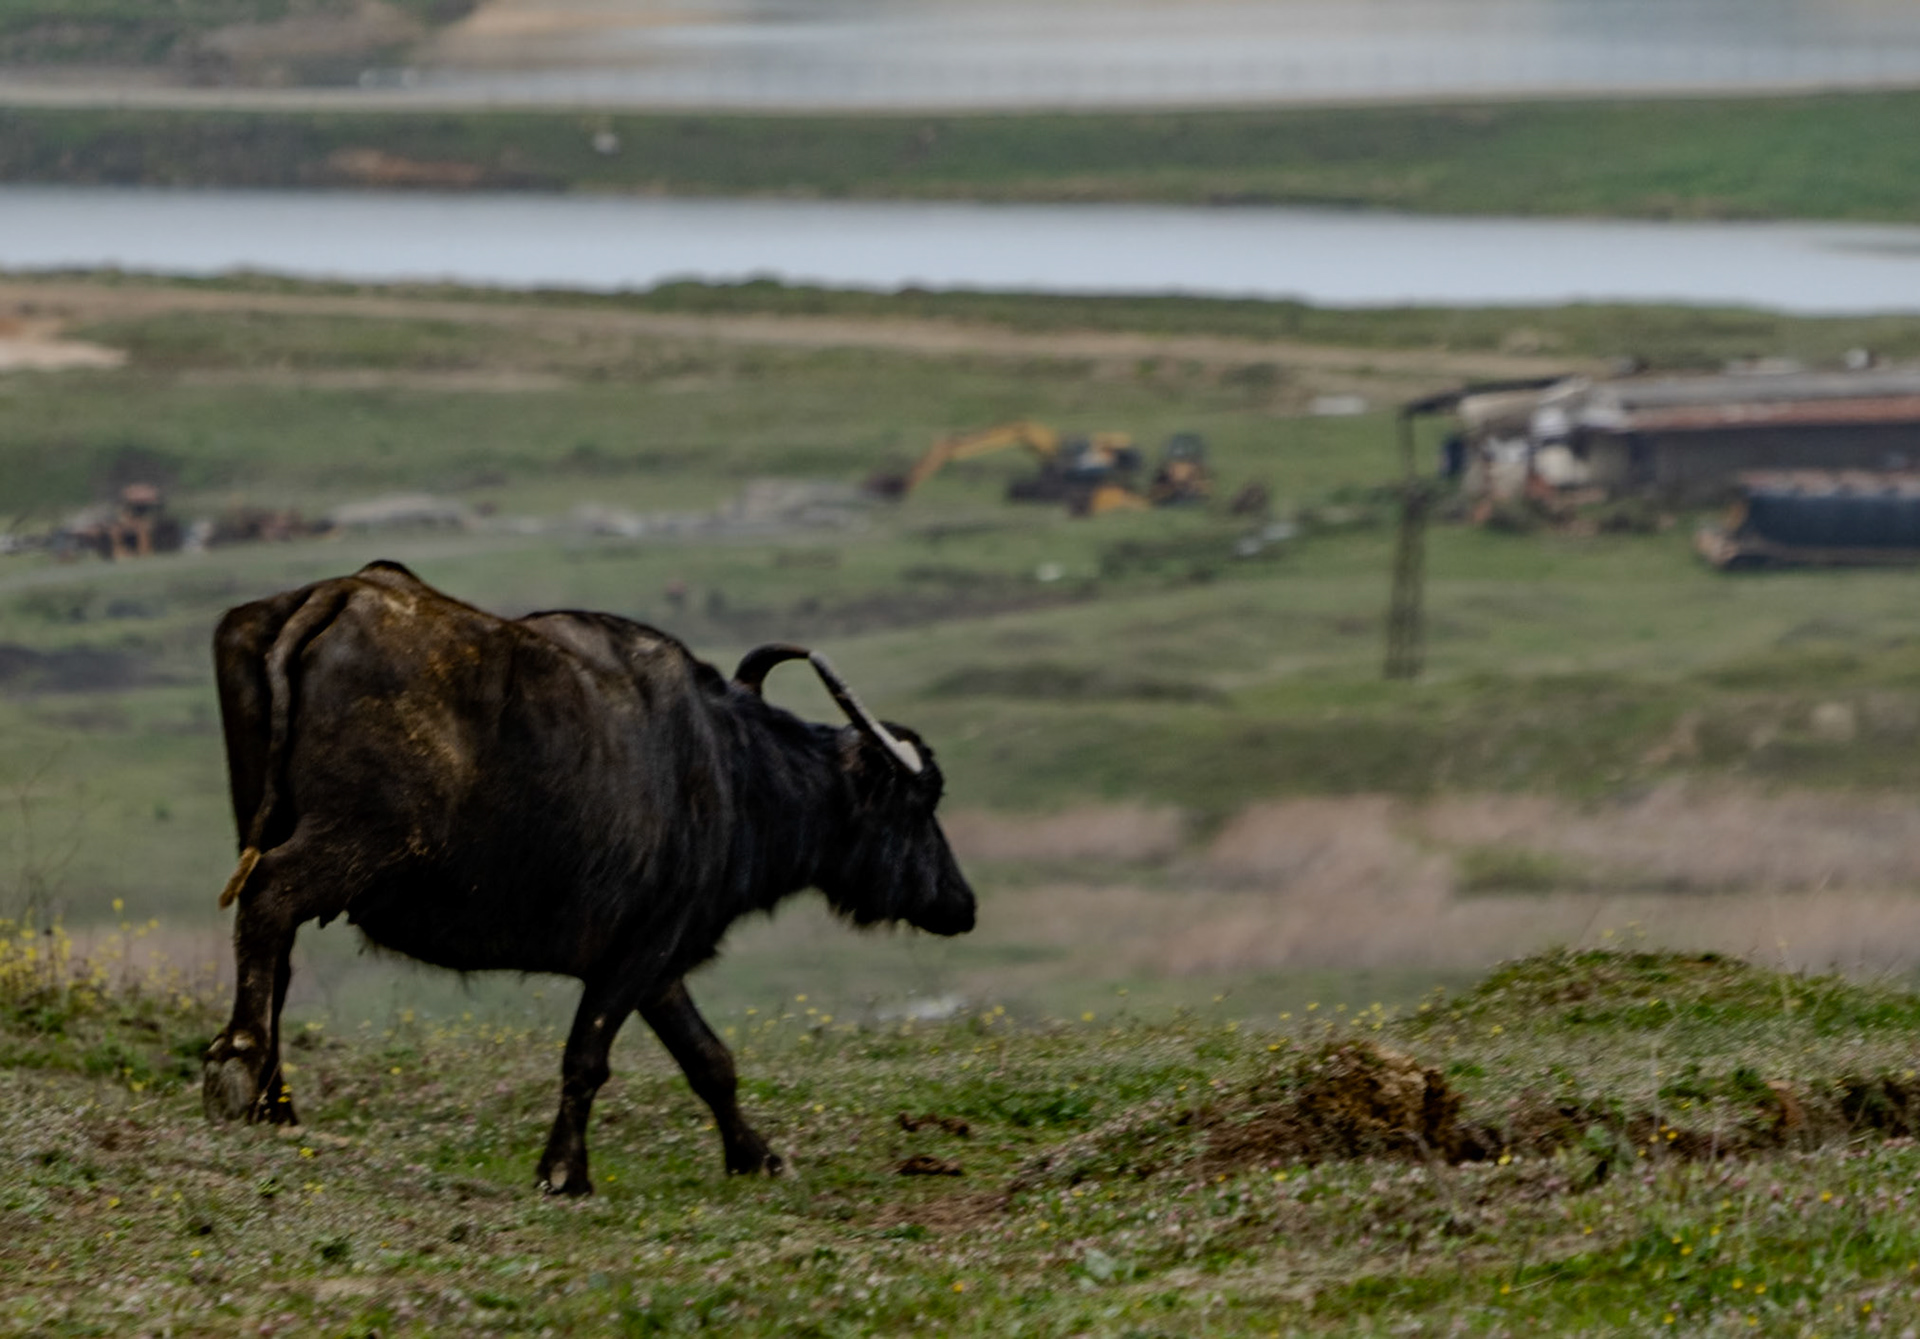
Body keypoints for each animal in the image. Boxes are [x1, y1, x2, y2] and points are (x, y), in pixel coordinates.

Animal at [202, 561, 975, 1193]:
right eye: (919, 799)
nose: (962, 904)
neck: (734, 773)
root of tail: (344, 594)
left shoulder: (660, 962)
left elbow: (709, 1059)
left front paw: (759, 1157)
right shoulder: (636, 951)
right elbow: (588, 1058)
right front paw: (564, 1172)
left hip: (259, 827)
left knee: (273, 953)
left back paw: (277, 1104)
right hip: (352, 845)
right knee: (270, 903)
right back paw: (239, 1067)